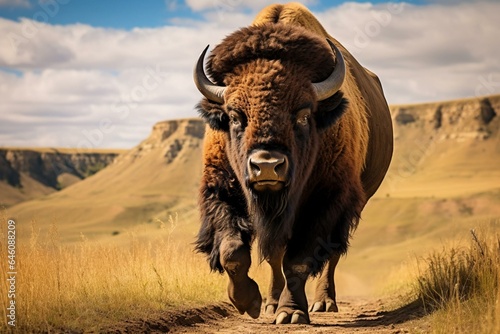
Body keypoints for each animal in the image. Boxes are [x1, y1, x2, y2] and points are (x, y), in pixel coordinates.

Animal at [193, 2, 392, 324]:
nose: (267, 166)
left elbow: (297, 261)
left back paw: (324, 302)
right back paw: (271, 303)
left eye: (303, 114)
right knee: (275, 256)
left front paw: (291, 313)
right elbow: (233, 252)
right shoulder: (222, 190)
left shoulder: (327, 201)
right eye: (234, 115)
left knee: (331, 257)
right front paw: (248, 302)